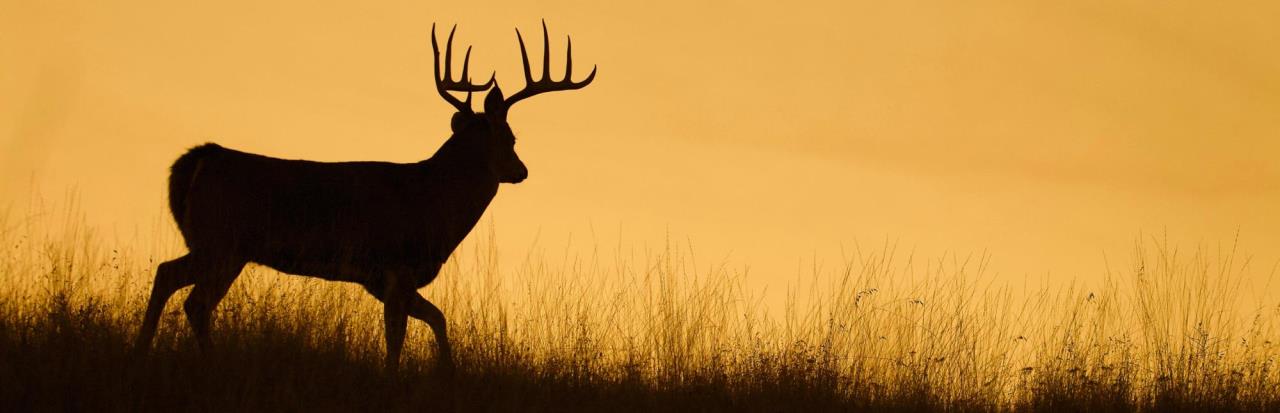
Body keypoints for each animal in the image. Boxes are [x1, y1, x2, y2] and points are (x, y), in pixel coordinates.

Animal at [133, 21, 596, 372]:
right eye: (512, 137)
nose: (521, 171)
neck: (434, 201)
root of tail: (201, 157)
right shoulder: (397, 266)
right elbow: (396, 336)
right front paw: (394, 379)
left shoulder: (380, 279)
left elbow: (437, 318)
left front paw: (447, 373)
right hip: (223, 242)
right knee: (193, 300)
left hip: (218, 245)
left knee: (169, 276)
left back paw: (142, 351)